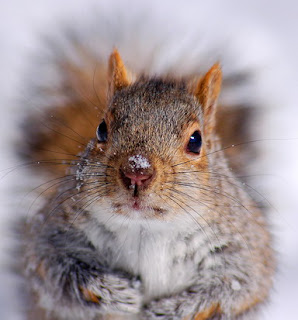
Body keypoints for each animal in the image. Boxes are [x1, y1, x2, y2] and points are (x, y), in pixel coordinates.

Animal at [17, 21, 276, 318]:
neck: (147, 228)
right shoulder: (54, 231)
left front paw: (174, 309)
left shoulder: (243, 247)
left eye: (196, 140)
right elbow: (52, 270)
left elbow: (237, 287)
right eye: (101, 129)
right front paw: (111, 290)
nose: (136, 171)